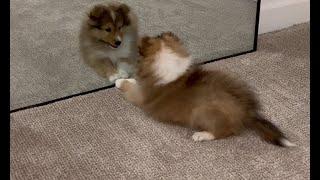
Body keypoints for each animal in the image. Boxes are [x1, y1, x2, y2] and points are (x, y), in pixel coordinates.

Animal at [114, 32, 296, 148]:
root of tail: (247, 113)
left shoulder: (141, 96)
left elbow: (130, 87)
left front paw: (119, 81)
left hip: (201, 112)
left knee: (225, 132)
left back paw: (202, 135)